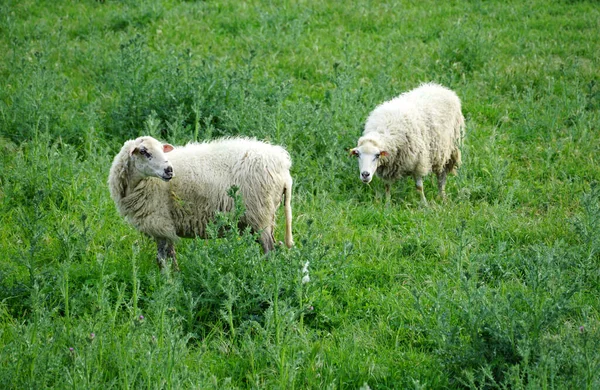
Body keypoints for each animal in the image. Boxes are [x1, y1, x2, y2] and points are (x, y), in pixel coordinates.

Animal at [109, 136, 296, 270]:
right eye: (144, 151)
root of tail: (283, 166)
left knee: (270, 250)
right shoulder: (163, 226)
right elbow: (169, 256)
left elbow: (163, 259)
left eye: (163, 150)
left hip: (259, 213)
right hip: (265, 215)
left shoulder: (159, 222)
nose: (169, 170)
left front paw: (168, 283)